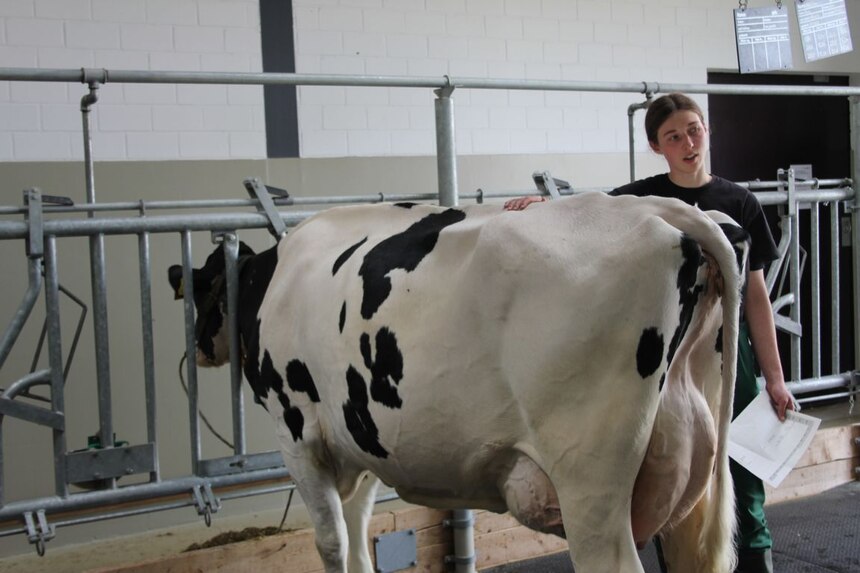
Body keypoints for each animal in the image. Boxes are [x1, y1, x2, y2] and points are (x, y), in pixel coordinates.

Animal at [168, 193, 744, 572]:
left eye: (202, 291)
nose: (197, 348)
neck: (277, 279)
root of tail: (661, 210)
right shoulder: (363, 436)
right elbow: (356, 534)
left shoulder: (298, 433)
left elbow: (331, 542)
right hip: (686, 468)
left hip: (589, 476)